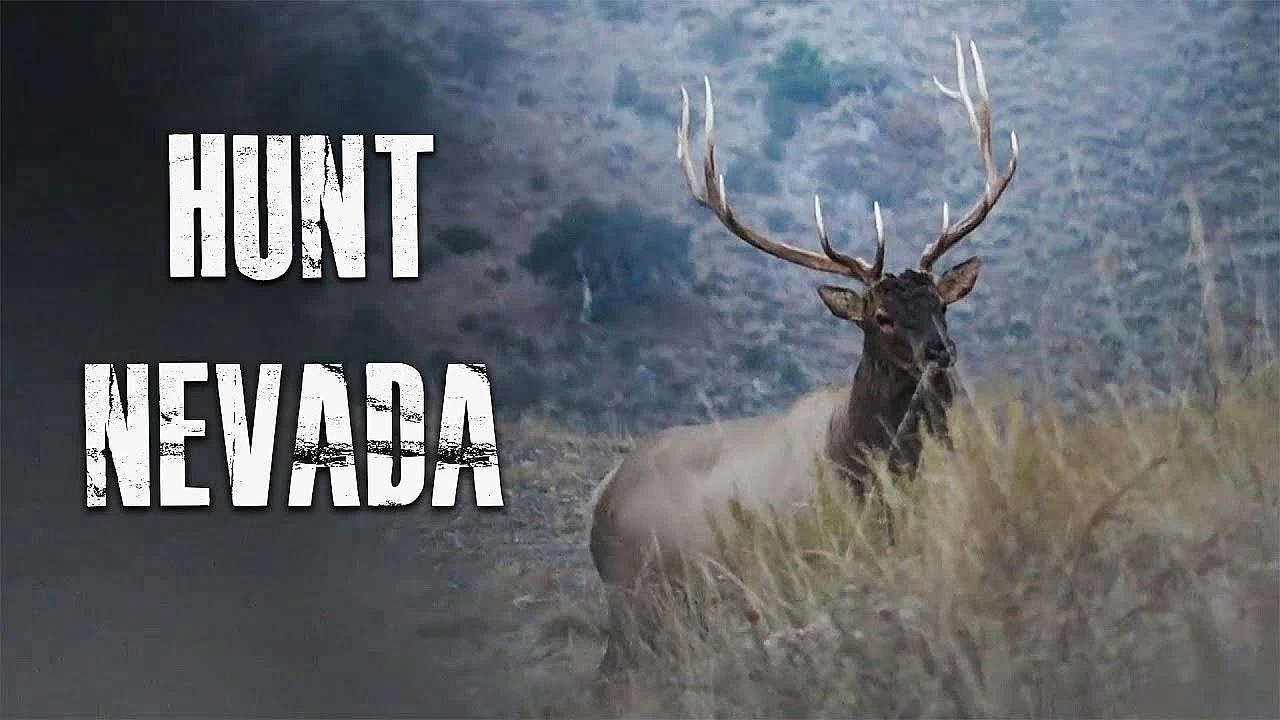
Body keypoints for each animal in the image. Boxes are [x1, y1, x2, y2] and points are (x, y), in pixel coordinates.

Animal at [587, 35, 1019, 678]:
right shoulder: (812, 557)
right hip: (637, 592)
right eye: (880, 316)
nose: (941, 352)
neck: (865, 466)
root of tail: (600, 501)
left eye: (942, 304)